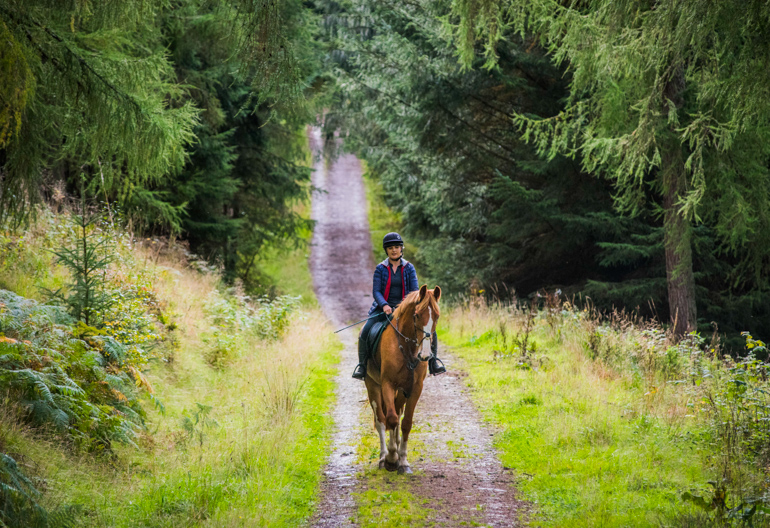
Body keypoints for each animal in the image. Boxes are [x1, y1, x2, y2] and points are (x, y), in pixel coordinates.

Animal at [364, 284, 441, 475]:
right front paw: (391, 459)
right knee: (381, 420)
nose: (425, 355)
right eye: (417, 315)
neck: (407, 347)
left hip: (401, 392)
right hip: (373, 386)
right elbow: (390, 419)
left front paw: (403, 461)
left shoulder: (415, 388)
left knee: (398, 416)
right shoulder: (387, 385)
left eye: (436, 316)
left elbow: (406, 423)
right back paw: (383, 457)